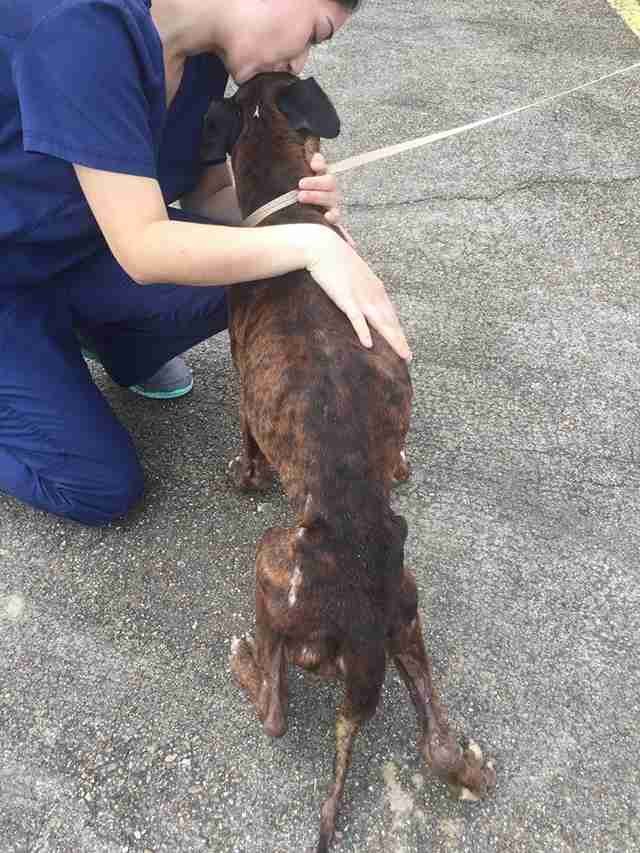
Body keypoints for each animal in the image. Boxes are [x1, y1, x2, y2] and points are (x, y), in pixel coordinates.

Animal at [200, 75, 496, 852]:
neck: (290, 207)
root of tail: (359, 635)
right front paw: (403, 466)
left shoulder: (244, 381)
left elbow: (247, 446)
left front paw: (244, 478)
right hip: (408, 618)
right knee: (437, 746)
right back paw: (468, 765)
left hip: (271, 567)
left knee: (275, 711)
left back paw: (246, 665)